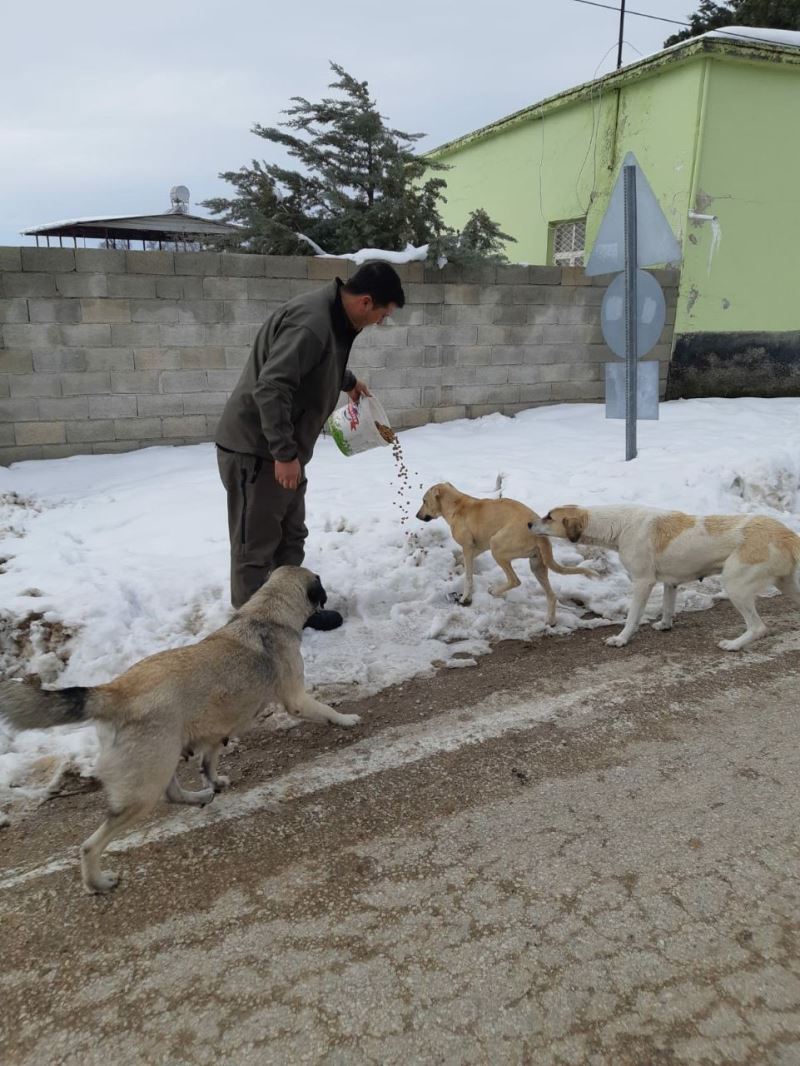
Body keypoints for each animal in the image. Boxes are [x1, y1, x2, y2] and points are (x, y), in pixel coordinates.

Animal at [0, 567, 360, 891]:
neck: (265, 614)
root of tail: (113, 693)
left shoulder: (215, 731)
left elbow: (209, 762)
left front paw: (214, 781)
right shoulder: (296, 700)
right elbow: (326, 710)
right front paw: (346, 719)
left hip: (164, 757)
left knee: (172, 793)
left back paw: (200, 797)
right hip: (145, 784)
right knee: (91, 844)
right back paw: (97, 882)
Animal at [420, 481, 597, 622]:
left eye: (424, 500)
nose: (417, 515)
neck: (458, 505)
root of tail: (538, 533)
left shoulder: (469, 547)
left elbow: (468, 577)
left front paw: (464, 598)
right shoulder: (478, 547)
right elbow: (463, 560)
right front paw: (457, 565)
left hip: (497, 547)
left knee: (515, 581)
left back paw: (494, 591)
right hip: (537, 564)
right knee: (552, 596)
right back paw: (550, 621)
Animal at [533, 501, 800, 648]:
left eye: (549, 517)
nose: (529, 524)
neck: (619, 525)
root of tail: (785, 534)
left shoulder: (642, 582)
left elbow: (632, 617)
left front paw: (621, 639)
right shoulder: (671, 582)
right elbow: (668, 607)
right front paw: (664, 625)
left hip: (735, 585)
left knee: (758, 627)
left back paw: (734, 645)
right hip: (788, 585)